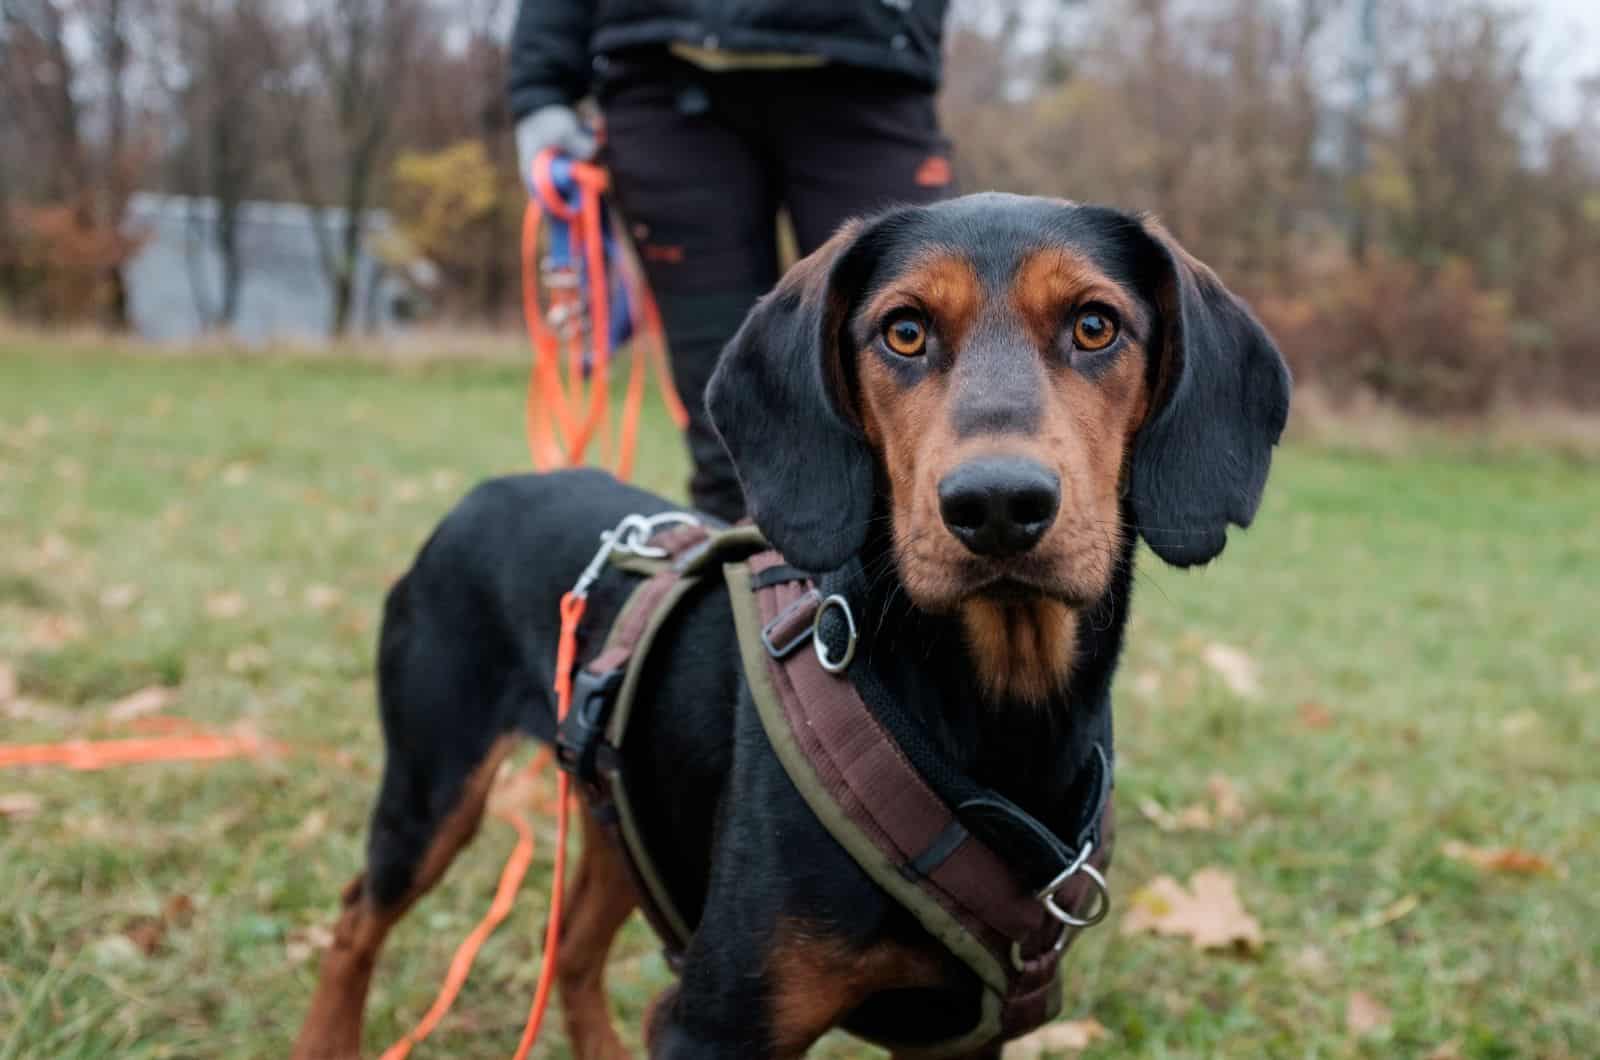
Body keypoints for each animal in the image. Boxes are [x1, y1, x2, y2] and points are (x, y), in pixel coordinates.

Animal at [291, 192, 1286, 1060]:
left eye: (1095, 325)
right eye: (904, 330)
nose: (998, 505)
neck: (991, 717)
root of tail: (489, 490)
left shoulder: (957, 1038)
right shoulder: (717, 1025)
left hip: (623, 805)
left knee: (570, 950)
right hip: (432, 786)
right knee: (353, 921)